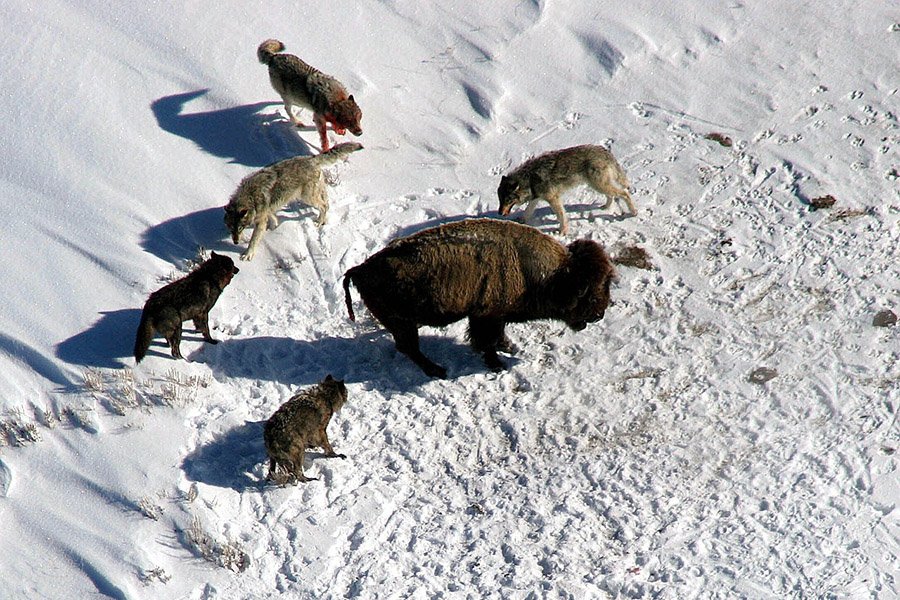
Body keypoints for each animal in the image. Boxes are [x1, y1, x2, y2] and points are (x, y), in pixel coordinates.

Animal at [224, 143, 362, 262]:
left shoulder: (260, 221)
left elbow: (254, 240)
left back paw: (319, 222)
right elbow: (272, 217)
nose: (235, 242)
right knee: (326, 203)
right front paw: (274, 227)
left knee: (323, 206)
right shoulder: (267, 210)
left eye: (240, 227)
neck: (250, 197)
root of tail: (311, 158)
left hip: (307, 197)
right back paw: (322, 221)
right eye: (231, 227)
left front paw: (248, 254)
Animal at [342, 218, 616, 378]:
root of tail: (360, 269)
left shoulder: (494, 316)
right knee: (410, 348)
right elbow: (487, 341)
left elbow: (498, 336)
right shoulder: (486, 317)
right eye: (587, 289)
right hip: (402, 324)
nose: (600, 314)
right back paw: (438, 371)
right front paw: (497, 364)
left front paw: (510, 347)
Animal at [496, 145, 636, 237]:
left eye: (507, 200)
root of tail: (605, 151)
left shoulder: (553, 199)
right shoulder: (536, 197)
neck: (530, 179)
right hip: (598, 185)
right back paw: (606, 207)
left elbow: (561, 216)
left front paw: (562, 232)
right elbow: (528, 211)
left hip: (599, 185)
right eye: (500, 200)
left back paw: (633, 212)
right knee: (611, 196)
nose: (499, 213)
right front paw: (521, 220)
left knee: (625, 193)